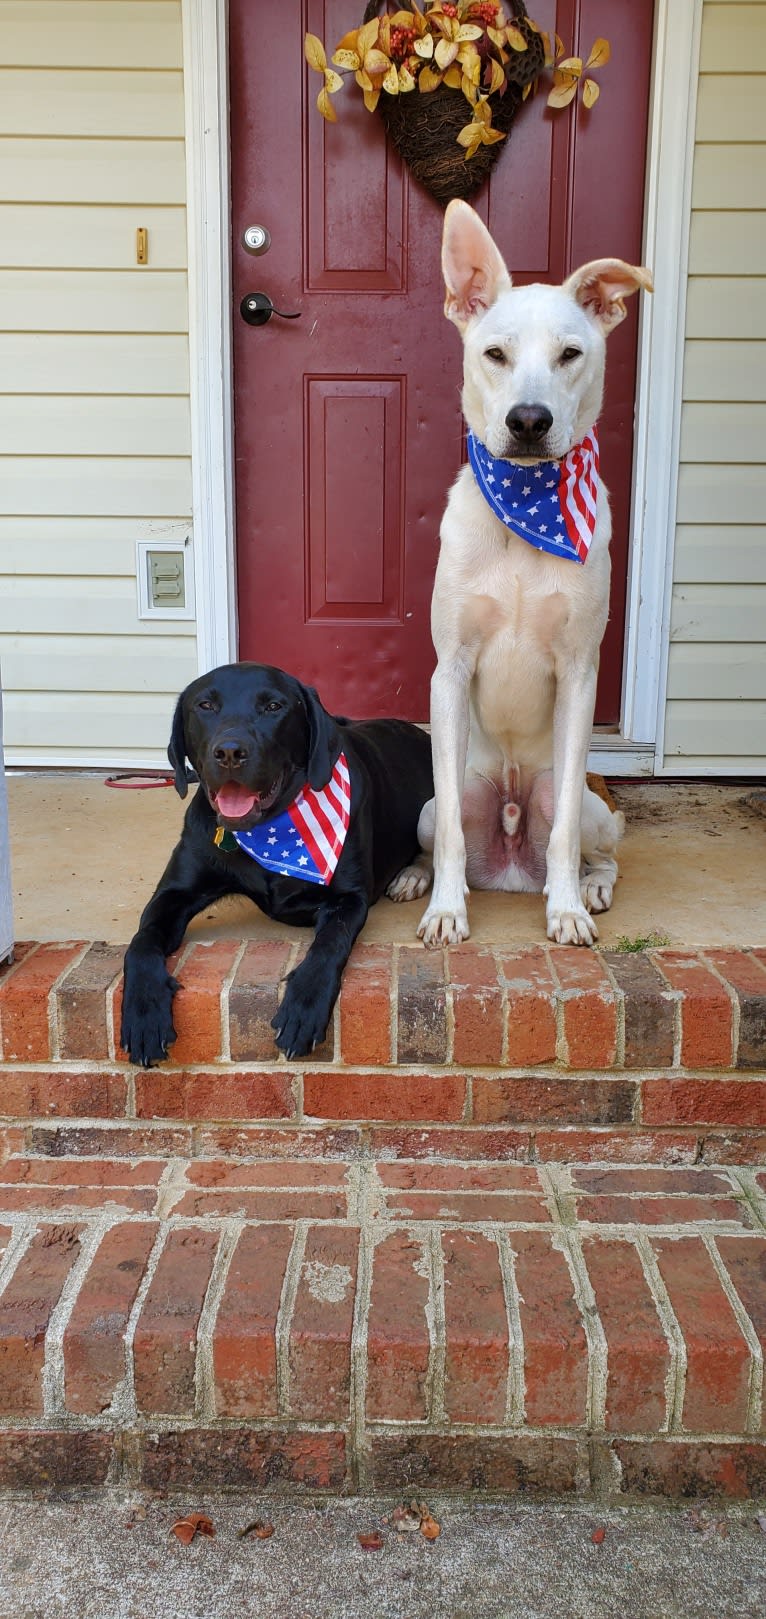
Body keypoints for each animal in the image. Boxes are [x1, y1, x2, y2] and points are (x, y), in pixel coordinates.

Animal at [119, 663, 430, 1068]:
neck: (267, 829)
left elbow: (329, 943)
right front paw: (143, 1011)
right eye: (205, 705)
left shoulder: (348, 898)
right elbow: (140, 942)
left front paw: (304, 1005)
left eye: (273, 706)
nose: (230, 752)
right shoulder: (173, 893)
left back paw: (412, 877)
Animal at [409, 208, 647, 951]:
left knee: (601, 845)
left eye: (571, 354)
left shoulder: (579, 674)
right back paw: (415, 876)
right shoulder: (449, 668)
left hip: (592, 805)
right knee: (440, 831)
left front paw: (566, 908)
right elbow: (454, 838)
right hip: (434, 800)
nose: (529, 420)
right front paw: (446, 910)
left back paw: (591, 887)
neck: (525, 510)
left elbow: (565, 828)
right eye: (495, 355)